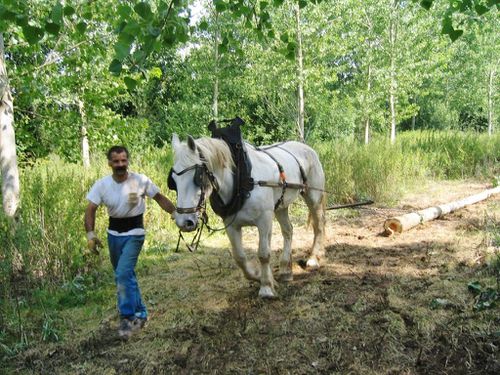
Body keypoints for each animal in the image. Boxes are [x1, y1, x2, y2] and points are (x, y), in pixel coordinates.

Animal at [170, 134, 326, 298]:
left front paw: (266, 287)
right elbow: (239, 257)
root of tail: (306, 147)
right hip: (281, 206)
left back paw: (313, 258)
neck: (241, 183)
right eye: (173, 180)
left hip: (313, 196)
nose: (184, 222)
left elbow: (263, 253)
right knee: (288, 230)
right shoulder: (231, 225)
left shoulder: (264, 220)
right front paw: (260, 277)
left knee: (318, 225)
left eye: (197, 177)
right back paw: (285, 269)